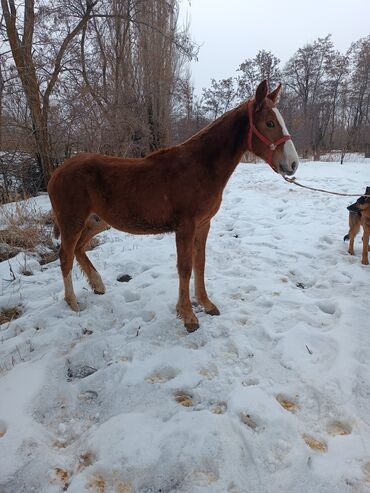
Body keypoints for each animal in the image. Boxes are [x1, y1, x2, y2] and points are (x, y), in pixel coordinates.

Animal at [47, 80, 300, 332]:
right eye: (269, 123)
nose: (293, 164)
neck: (199, 167)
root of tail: (57, 172)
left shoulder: (203, 225)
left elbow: (200, 263)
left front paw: (206, 304)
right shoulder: (185, 227)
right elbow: (185, 267)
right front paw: (188, 316)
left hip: (97, 221)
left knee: (79, 248)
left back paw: (98, 284)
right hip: (72, 222)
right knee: (65, 256)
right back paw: (73, 302)